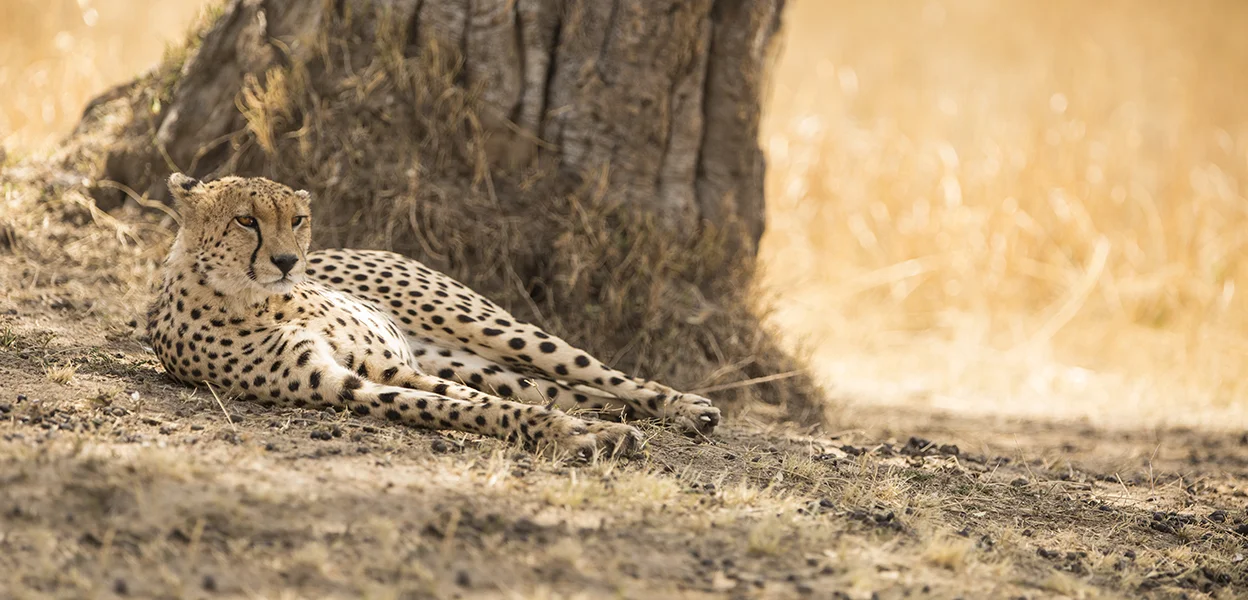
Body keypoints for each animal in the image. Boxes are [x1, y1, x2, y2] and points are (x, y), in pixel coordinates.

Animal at [146, 173, 721, 457]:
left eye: (298, 219)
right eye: (247, 220)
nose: (289, 262)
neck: (257, 297)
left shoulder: (387, 366)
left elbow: (470, 402)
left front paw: (580, 432)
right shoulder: (348, 383)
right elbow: (466, 405)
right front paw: (574, 433)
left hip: (488, 326)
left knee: (598, 373)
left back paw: (686, 406)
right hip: (472, 361)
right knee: (560, 390)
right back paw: (619, 415)